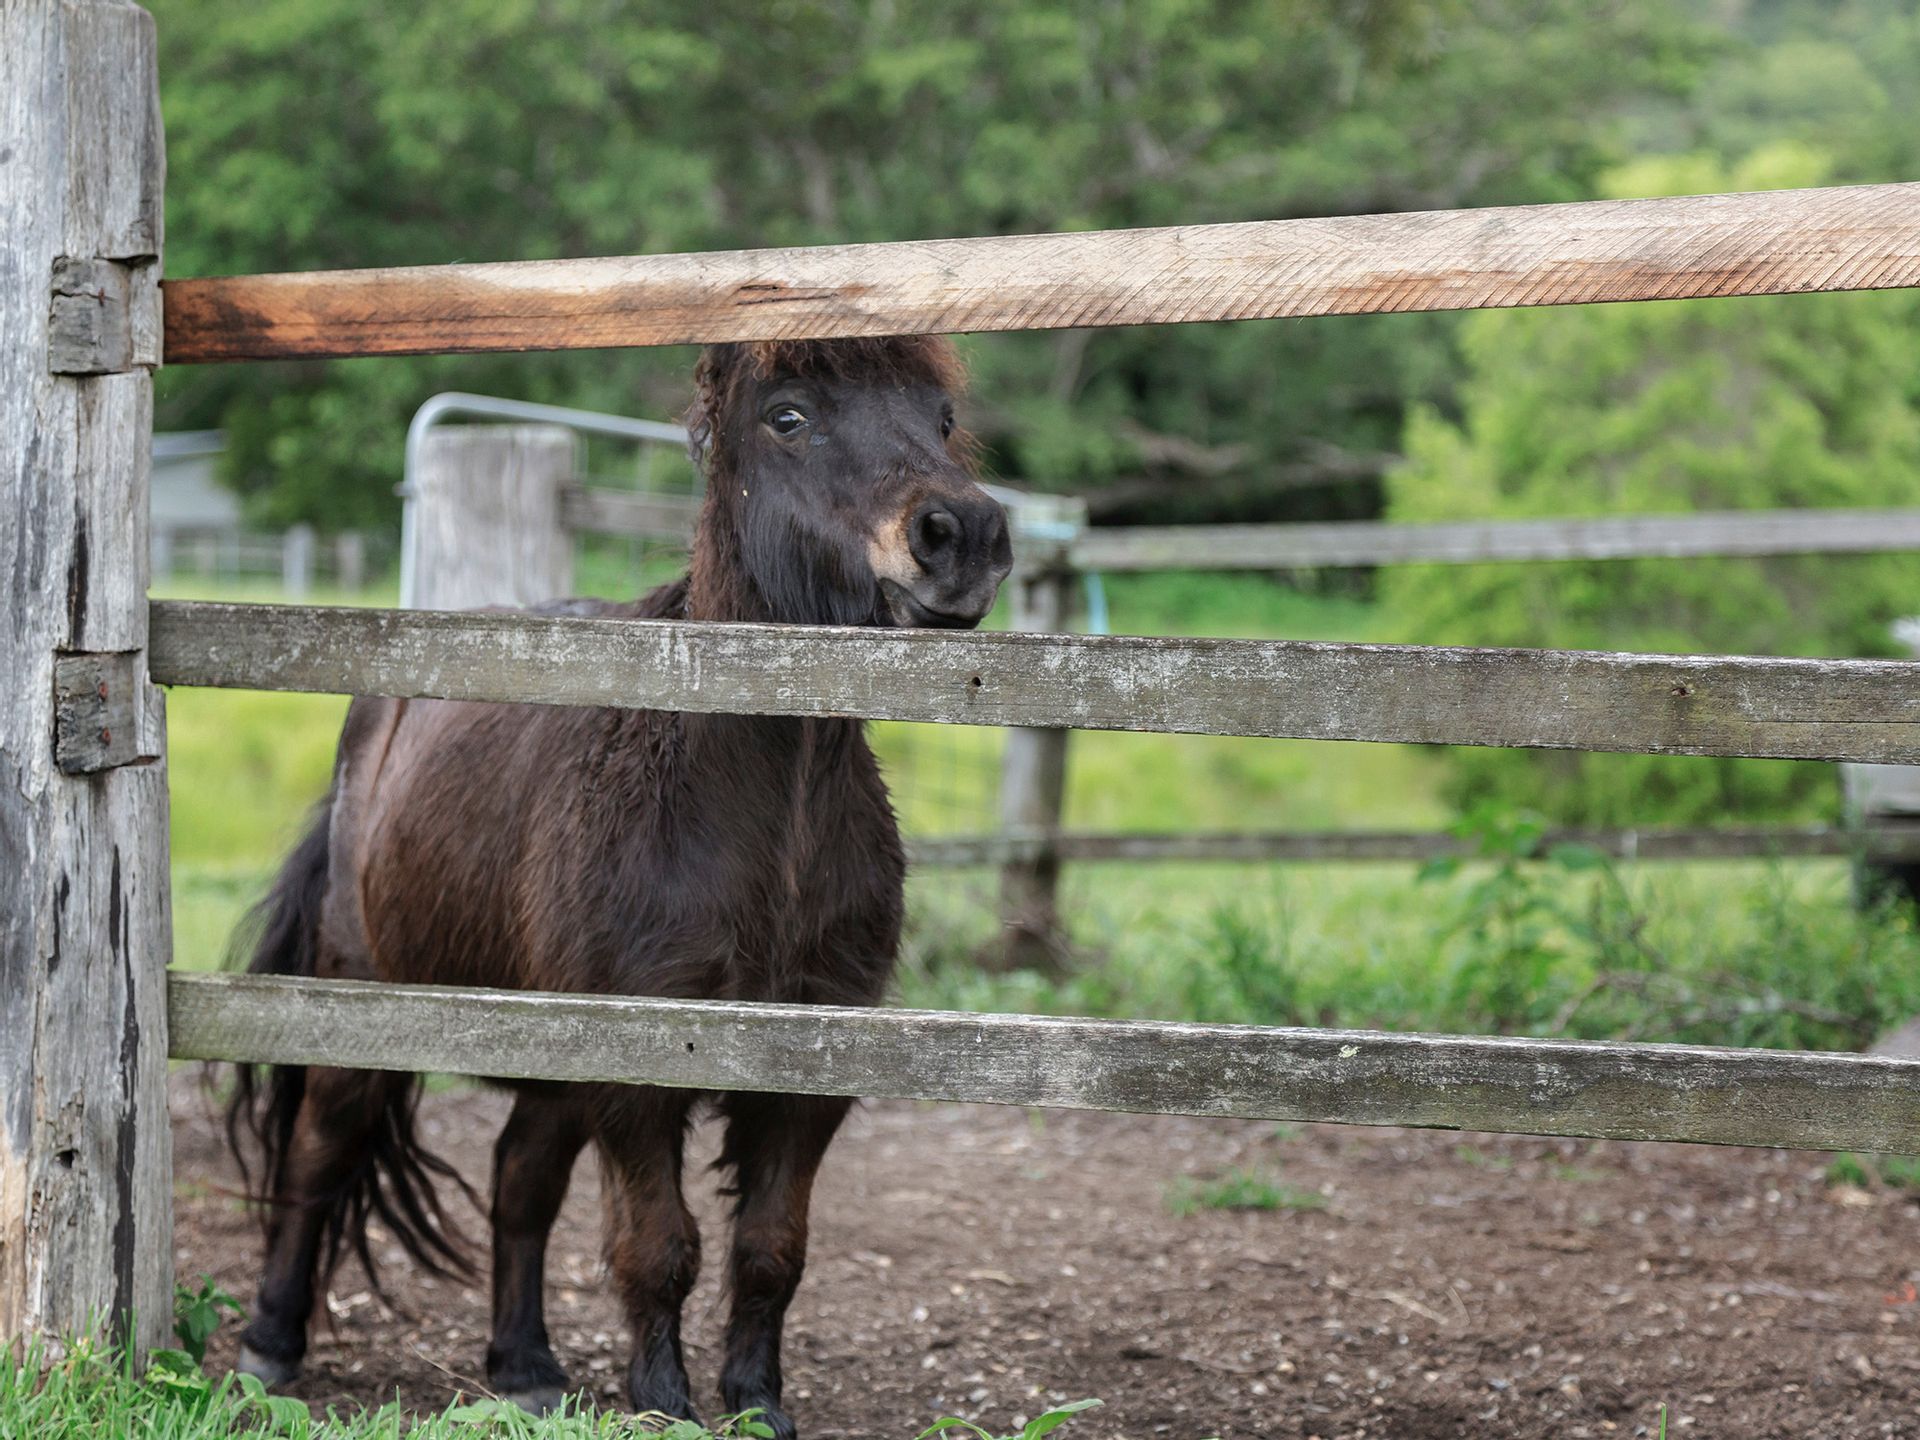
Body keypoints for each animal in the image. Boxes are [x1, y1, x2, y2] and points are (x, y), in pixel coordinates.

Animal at [225, 335, 1012, 1437]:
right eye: (790, 417)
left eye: (941, 420)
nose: (962, 535)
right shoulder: (638, 1073)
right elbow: (661, 1246)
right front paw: (665, 1405)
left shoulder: (806, 1075)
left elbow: (770, 1251)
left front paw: (756, 1403)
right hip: (362, 1002)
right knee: (318, 1153)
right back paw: (268, 1349)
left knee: (519, 1179)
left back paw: (524, 1367)